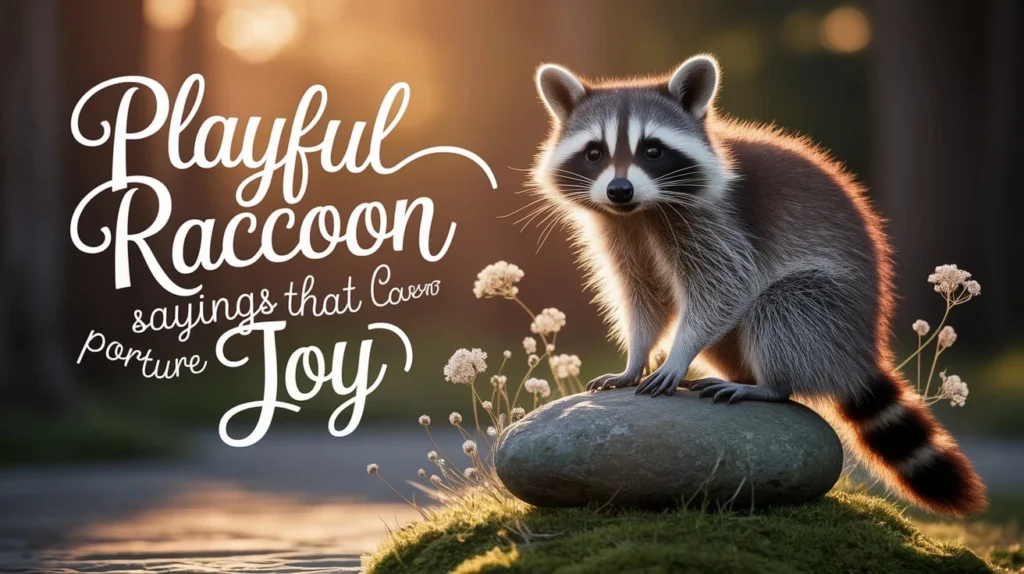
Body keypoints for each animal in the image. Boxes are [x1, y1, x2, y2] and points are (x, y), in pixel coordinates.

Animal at [529, 55, 986, 516]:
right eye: (594, 153)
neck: (641, 211)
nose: (619, 190)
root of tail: (861, 349)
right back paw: (744, 375)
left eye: (653, 150)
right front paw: (636, 357)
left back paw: (768, 385)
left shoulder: (720, 219)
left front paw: (677, 354)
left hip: (833, 306)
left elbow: (727, 285)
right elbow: (644, 295)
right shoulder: (621, 230)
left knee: (783, 306)